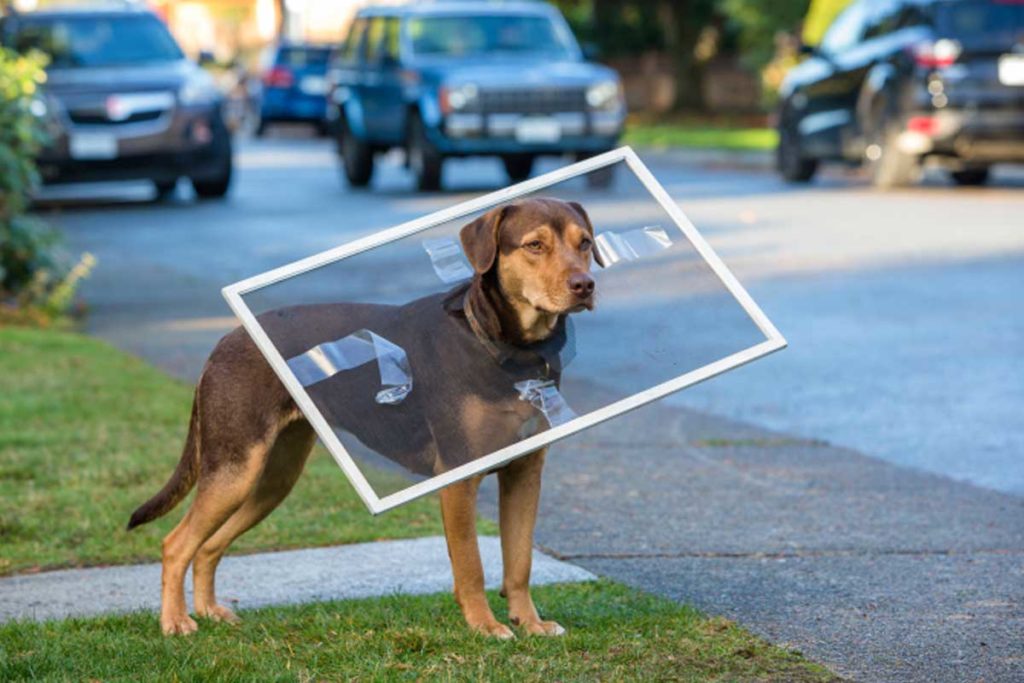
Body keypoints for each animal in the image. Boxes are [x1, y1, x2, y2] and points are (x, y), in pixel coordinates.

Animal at [130, 197, 598, 643]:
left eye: (585, 244)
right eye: (534, 245)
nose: (585, 285)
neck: (506, 347)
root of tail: (224, 341)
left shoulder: (525, 473)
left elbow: (519, 562)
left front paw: (531, 624)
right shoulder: (459, 478)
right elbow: (471, 566)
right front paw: (485, 626)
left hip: (272, 480)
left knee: (208, 546)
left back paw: (210, 612)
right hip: (235, 469)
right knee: (176, 544)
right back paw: (176, 622)